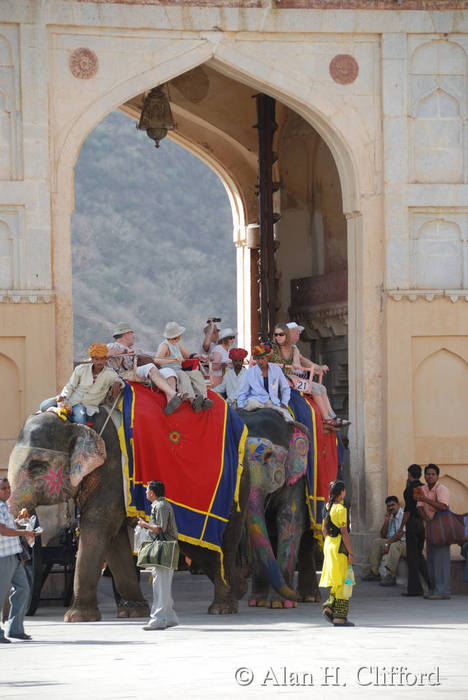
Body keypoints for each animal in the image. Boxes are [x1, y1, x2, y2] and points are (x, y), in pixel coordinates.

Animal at [7, 408, 249, 620]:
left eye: (37, 466)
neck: (73, 422)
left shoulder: (110, 467)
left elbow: (98, 526)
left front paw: (77, 617)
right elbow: (113, 538)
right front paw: (133, 612)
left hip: (233, 493)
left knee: (223, 544)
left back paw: (222, 607)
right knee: (198, 547)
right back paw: (239, 590)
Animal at [238, 408, 322, 608]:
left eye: (268, 456)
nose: (295, 598)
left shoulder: (298, 476)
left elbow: (289, 518)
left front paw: (280, 604)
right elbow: (253, 527)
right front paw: (258, 602)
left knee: (307, 537)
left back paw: (308, 597)